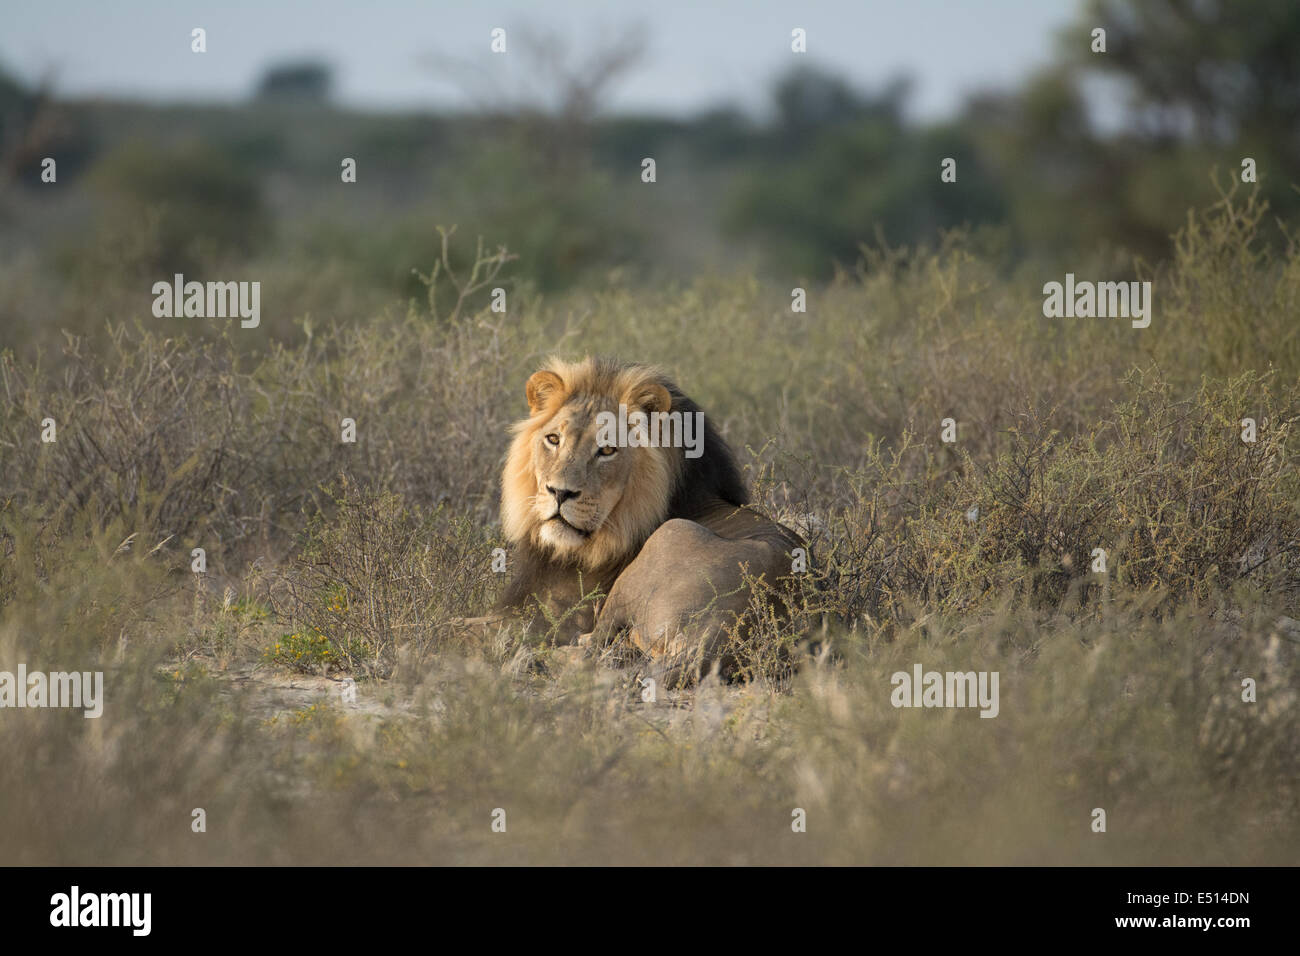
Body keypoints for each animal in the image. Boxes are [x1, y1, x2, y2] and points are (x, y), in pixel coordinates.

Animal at [493, 356, 806, 681]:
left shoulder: (550, 613)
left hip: (664, 543)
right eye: (553, 439)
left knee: (595, 647)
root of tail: (712, 643)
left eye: (607, 450)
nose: (559, 492)